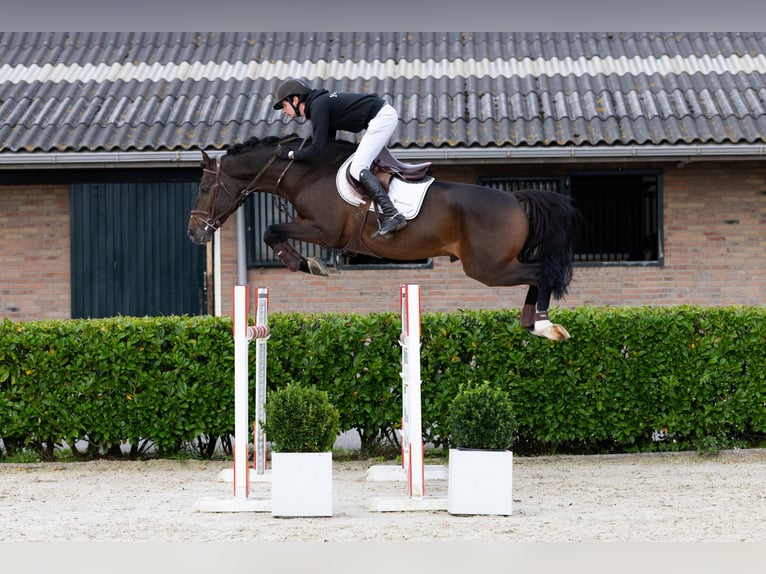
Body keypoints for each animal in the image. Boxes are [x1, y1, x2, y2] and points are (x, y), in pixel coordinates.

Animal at [188, 136, 580, 340]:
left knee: (540, 272)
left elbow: (272, 232)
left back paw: (543, 323)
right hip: (494, 266)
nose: (194, 233)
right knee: (538, 274)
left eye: (205, 188)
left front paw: (308, 264)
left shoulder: (323, 230)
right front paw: (309, 263)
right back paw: (531, 323)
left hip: (488, 268)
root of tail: (515, 198)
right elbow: (274, 232)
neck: (308, 174)